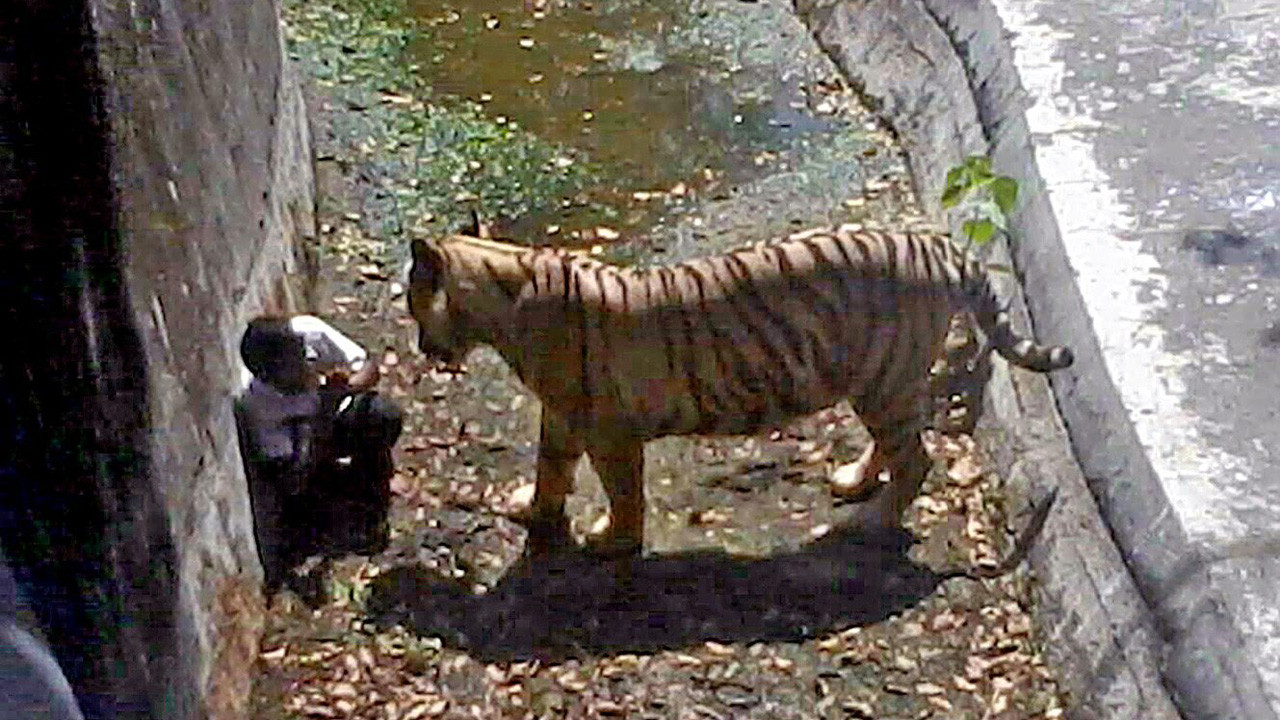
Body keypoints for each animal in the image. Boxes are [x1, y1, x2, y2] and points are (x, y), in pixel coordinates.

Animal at [407, 224, 1073, 559]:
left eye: (413, 305)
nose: (419, 347)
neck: (506, 290)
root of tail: (941, 246)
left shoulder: (607, 429)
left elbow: (623, 493)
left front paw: (611, 540)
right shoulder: (565, 415)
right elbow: (551, 467)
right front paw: (533, 509)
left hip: (885, 379)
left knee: (918, 458)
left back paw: (869, 521)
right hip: (879, 382)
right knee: (896, 445)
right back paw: (854, 482)